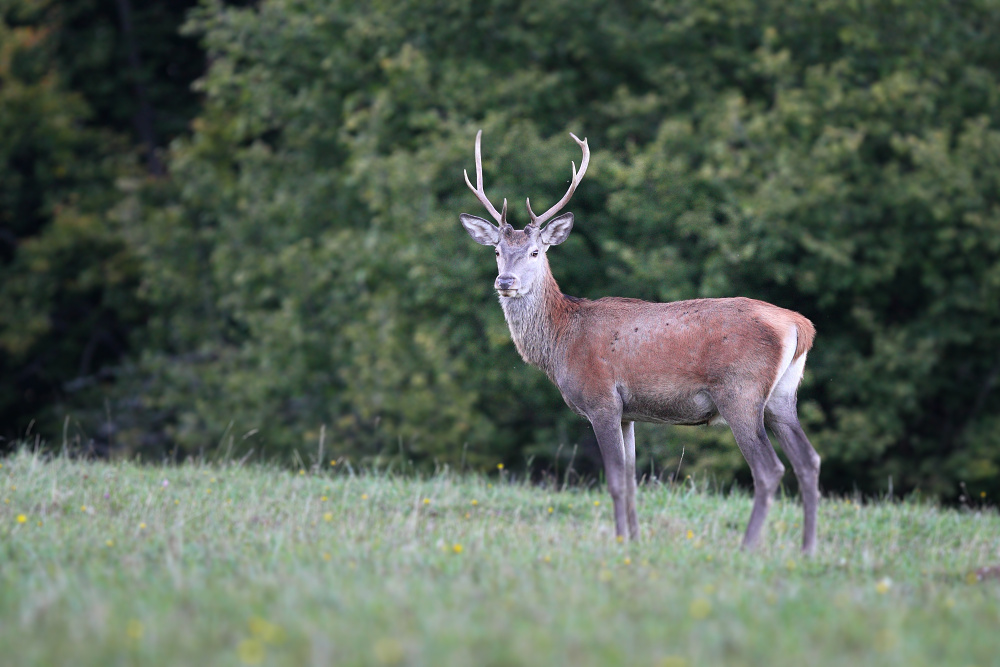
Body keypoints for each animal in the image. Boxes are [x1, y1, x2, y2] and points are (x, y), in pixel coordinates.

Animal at [459, 130, 821, 553]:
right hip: (782, 396)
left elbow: (616, 480)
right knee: (808, 461)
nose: (505, 281)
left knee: (769, 469)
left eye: (535, 251)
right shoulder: (629, 412)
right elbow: (633, 480)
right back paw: (807, 549)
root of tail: (799, 325)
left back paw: (748, 547)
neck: (562, 340)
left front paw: (619, 542)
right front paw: (634, 539)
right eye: (497, 251)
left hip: (740, 391)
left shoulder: (601, 399)